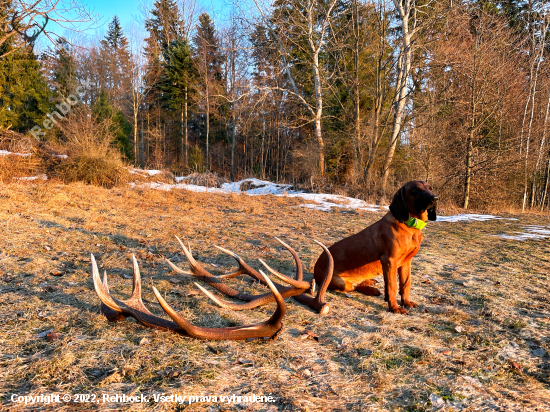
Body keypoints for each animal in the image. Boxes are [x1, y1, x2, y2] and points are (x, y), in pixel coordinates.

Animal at [314, 182, 440, 314]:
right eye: (415, 190)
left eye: (430, 188)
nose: (435, 198)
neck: (410, 225)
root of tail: (315, 269)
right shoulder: (389, 261)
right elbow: (392, 287)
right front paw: (394, 308)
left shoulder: (406, 262)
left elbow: (406, 284)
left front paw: (406, 302)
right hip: (340, 282)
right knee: (353, 287)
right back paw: (369, 289)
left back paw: (369, 283)